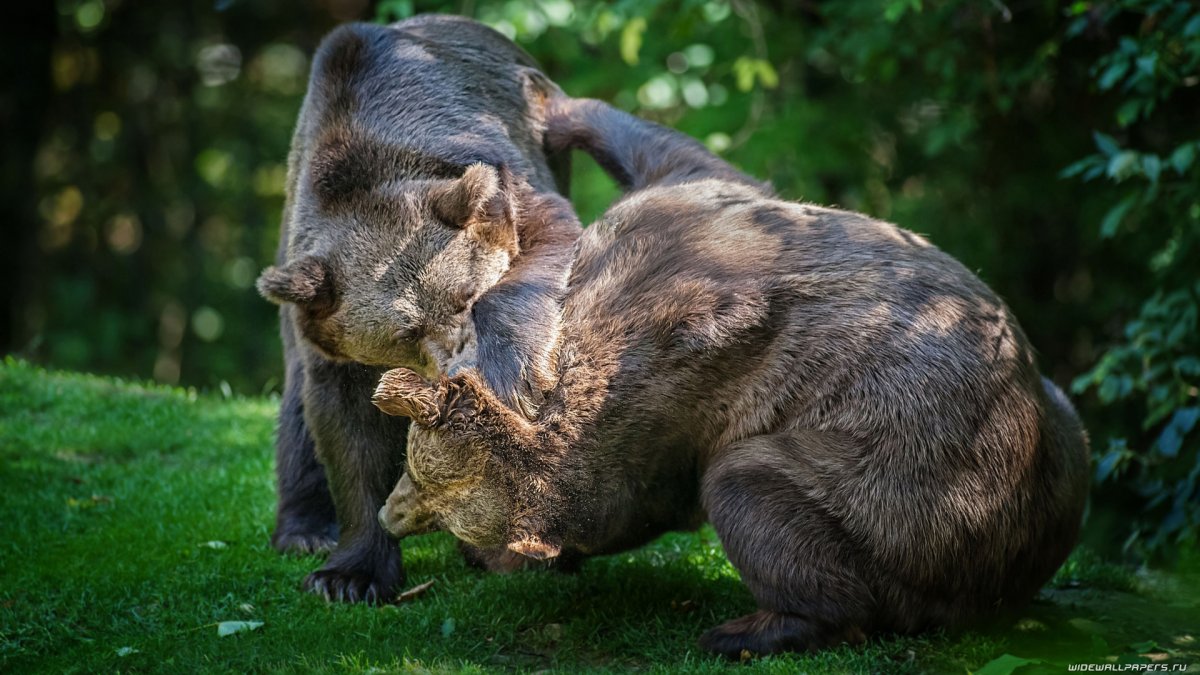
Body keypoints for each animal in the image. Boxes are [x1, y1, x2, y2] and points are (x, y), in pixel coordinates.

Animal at [256, 15, 580, 600]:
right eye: (405, 333)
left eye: (468, 297)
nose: (457, 368)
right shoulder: (328, 330)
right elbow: (346, 429)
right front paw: (350, 574)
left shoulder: (505, 176)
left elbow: (544, 245)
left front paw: (511, 373)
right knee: (295, 412)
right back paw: (305, 530)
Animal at [369, 94, 1094, 653]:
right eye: (420, 473)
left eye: (436, 492)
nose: (390, 513)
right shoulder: (693, 214)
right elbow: (688, 160)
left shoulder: (680, 361)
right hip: (1057, 430)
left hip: (913, 477)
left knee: (757, 487)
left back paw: (750, 629)